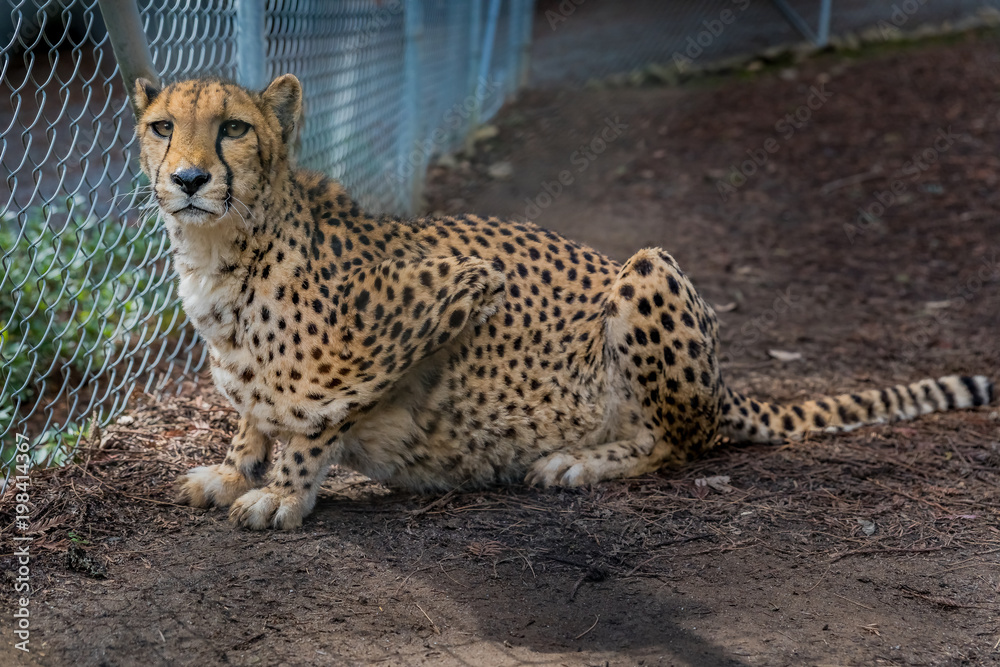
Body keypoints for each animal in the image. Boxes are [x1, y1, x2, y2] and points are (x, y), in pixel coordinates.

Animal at [133, 74, 995, 530]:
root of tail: (725, 387)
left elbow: (318, 408)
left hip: (648, 269)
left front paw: (284, 490)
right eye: (163, 126)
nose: (189, 179)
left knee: (676, 442)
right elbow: (256, 407)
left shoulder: (465, 280)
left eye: (235, 128)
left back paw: (575, 460)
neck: (221, 254)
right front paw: (238, 468)